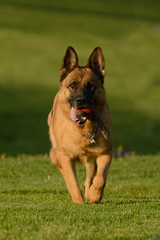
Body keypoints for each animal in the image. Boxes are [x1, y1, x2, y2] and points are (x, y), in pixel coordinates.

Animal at [47, 46, 114, 203]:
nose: (80, 100)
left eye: (90, 86)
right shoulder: (65, 157)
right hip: (57, 156)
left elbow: (100, 178)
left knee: (89, 178)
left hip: (91, 162)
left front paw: (95, 195)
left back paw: (90, 193)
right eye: (73, 85)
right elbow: (72, 183)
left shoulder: (106, 153)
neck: (83, 129)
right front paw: (79, 202)